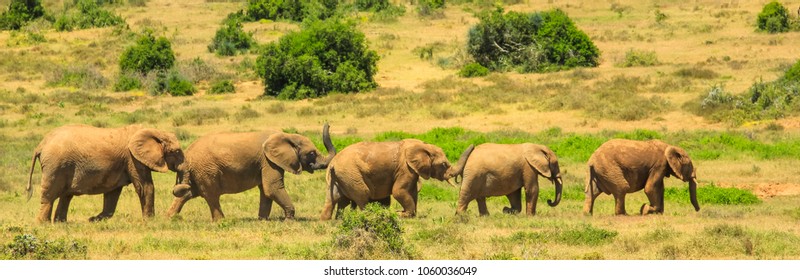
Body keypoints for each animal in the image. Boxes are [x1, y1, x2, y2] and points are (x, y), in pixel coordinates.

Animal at [25, 124, 186, 223]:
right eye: (177, 151)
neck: (155, 131)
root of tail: (41, 144)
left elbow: (112, 194)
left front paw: (93, 220)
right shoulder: (133, 158)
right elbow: (145, 187)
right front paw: (150, 221)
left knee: (66, 196)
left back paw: (61, 223)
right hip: (55, 165)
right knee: (50, 195)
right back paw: (43, 224)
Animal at [170, 123, 336, 221]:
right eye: (312, 154)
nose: (328, 123)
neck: (286, 135)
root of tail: (187, 153)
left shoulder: (264, 163)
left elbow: (266, 191)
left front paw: (263, 221)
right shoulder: (268, 161)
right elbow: (272, 188)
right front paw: (289, 221)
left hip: (197, 171)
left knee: (187, 193)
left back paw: (169, 218)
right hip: (206, 169)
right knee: (211, 195)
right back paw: (222, 221)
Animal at [320, 140, 476, 221]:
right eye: (444, 164)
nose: (474, 146)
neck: (423, 146)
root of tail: (333, 163)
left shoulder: (411, 171)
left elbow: (413, 193)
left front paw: (410, 215)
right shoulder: (405, 168)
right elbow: (398, 191)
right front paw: (402, 214)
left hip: (339, 177)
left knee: (332, 200)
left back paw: (327, 220)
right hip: (351, 174)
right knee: (363, 195)